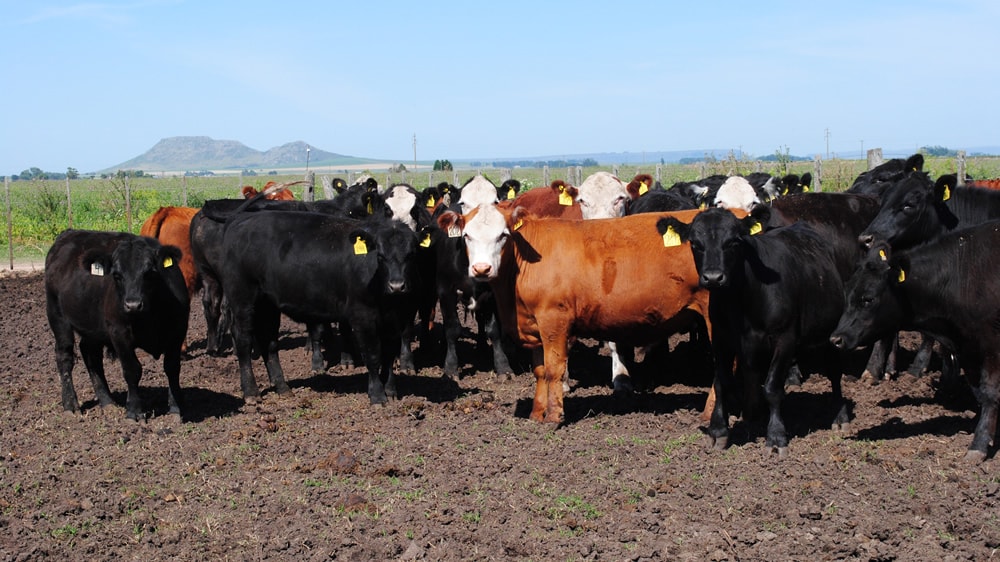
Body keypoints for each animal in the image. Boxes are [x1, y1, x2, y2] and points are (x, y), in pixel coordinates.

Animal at [44, 230, 191, 418]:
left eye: (149, 273)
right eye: (116, 275)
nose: (133, 305)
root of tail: (68, 233)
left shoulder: (178, 331)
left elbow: (172, 367)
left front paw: (175, 409)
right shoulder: (119, 333)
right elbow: (132, 370)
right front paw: (134, 411)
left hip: (93, 328)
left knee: (91, 355)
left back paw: (107, 401)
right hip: (57, 316)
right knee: (65, 357)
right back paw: (70, 405)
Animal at [442, 203, 716, 422]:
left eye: (503, 235)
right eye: (467, 236)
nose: (482, 268)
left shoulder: (554, 320)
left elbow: (554, 370)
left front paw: (554, 416)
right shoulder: (535, 326)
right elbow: (540, 371)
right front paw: (536, 414)